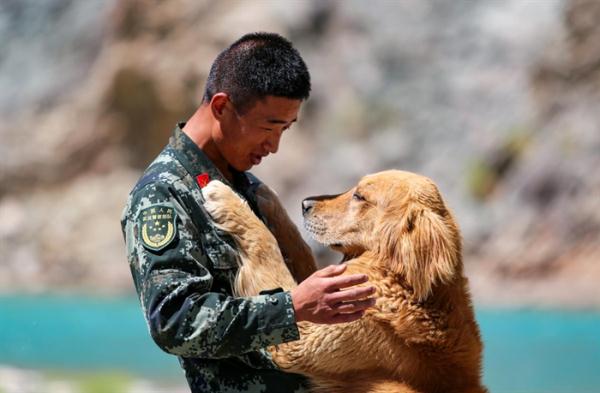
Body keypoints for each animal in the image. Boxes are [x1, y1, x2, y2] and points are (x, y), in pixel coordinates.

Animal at [204, 170, 486, 392]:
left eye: (359, 196)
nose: (305, 203)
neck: (401, 284)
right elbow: (299, 249)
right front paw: (267, 196)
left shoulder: (304, 336)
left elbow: (268, 247)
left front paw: (225, 198)